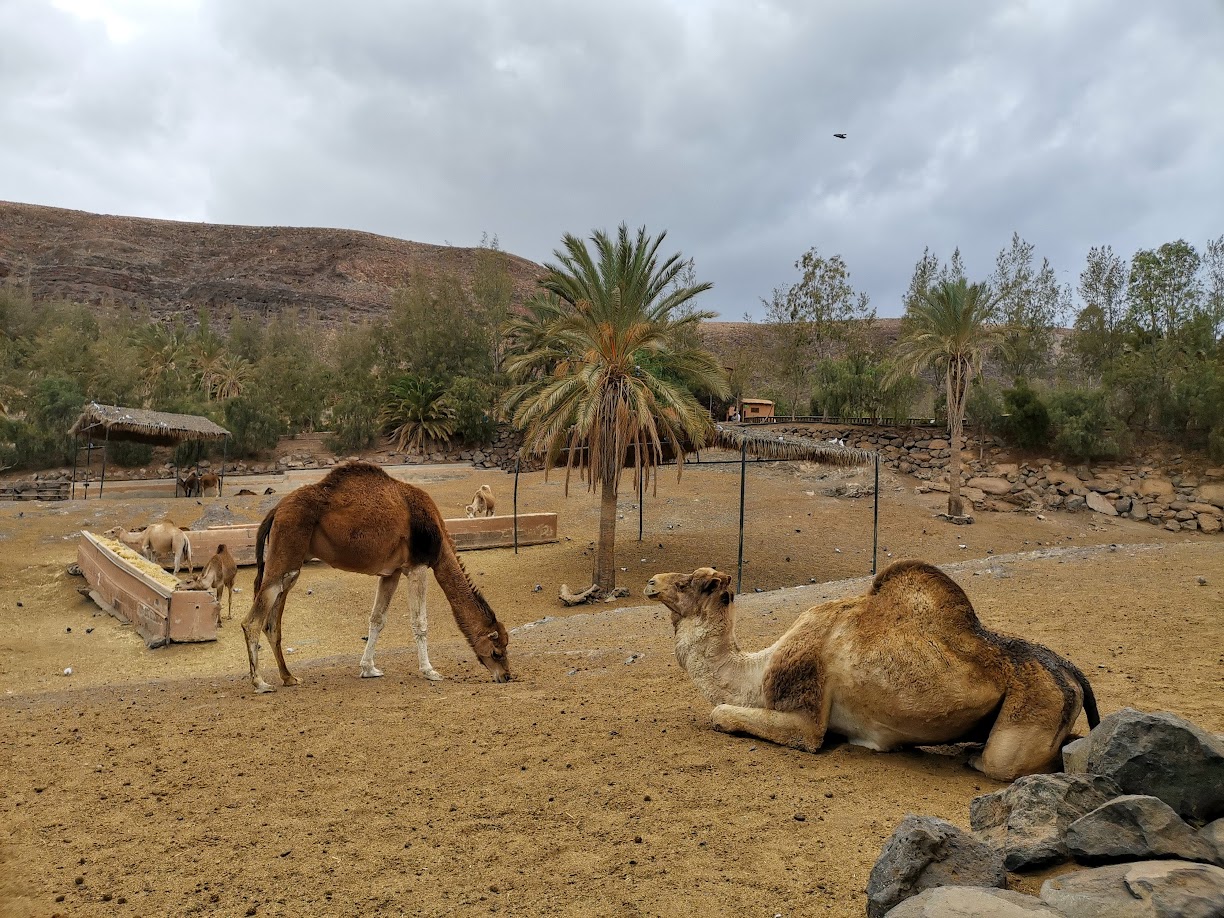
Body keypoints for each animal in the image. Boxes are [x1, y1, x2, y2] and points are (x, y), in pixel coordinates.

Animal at [241, 462, 509, 695]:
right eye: (497, 651)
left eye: (506, 647)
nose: (506, 676)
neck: (439, 539)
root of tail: (276, 510)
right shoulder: (418, 566)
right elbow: (419, 622)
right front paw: (430, 671)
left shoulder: (392, 573)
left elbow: (377, 619)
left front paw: (368, 668)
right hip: (284, 556)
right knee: (252, 622)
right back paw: (261, 683)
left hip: (290, 568)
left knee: (271, 623)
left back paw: (289, 677)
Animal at [646, 560, 1106, 783]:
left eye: (691, 582)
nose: (652, 582)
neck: (756, 671)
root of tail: (1072, 673)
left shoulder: (806, 717)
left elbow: (721, 713)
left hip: (1033, 704)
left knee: (1004, 762)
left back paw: (974, 756)